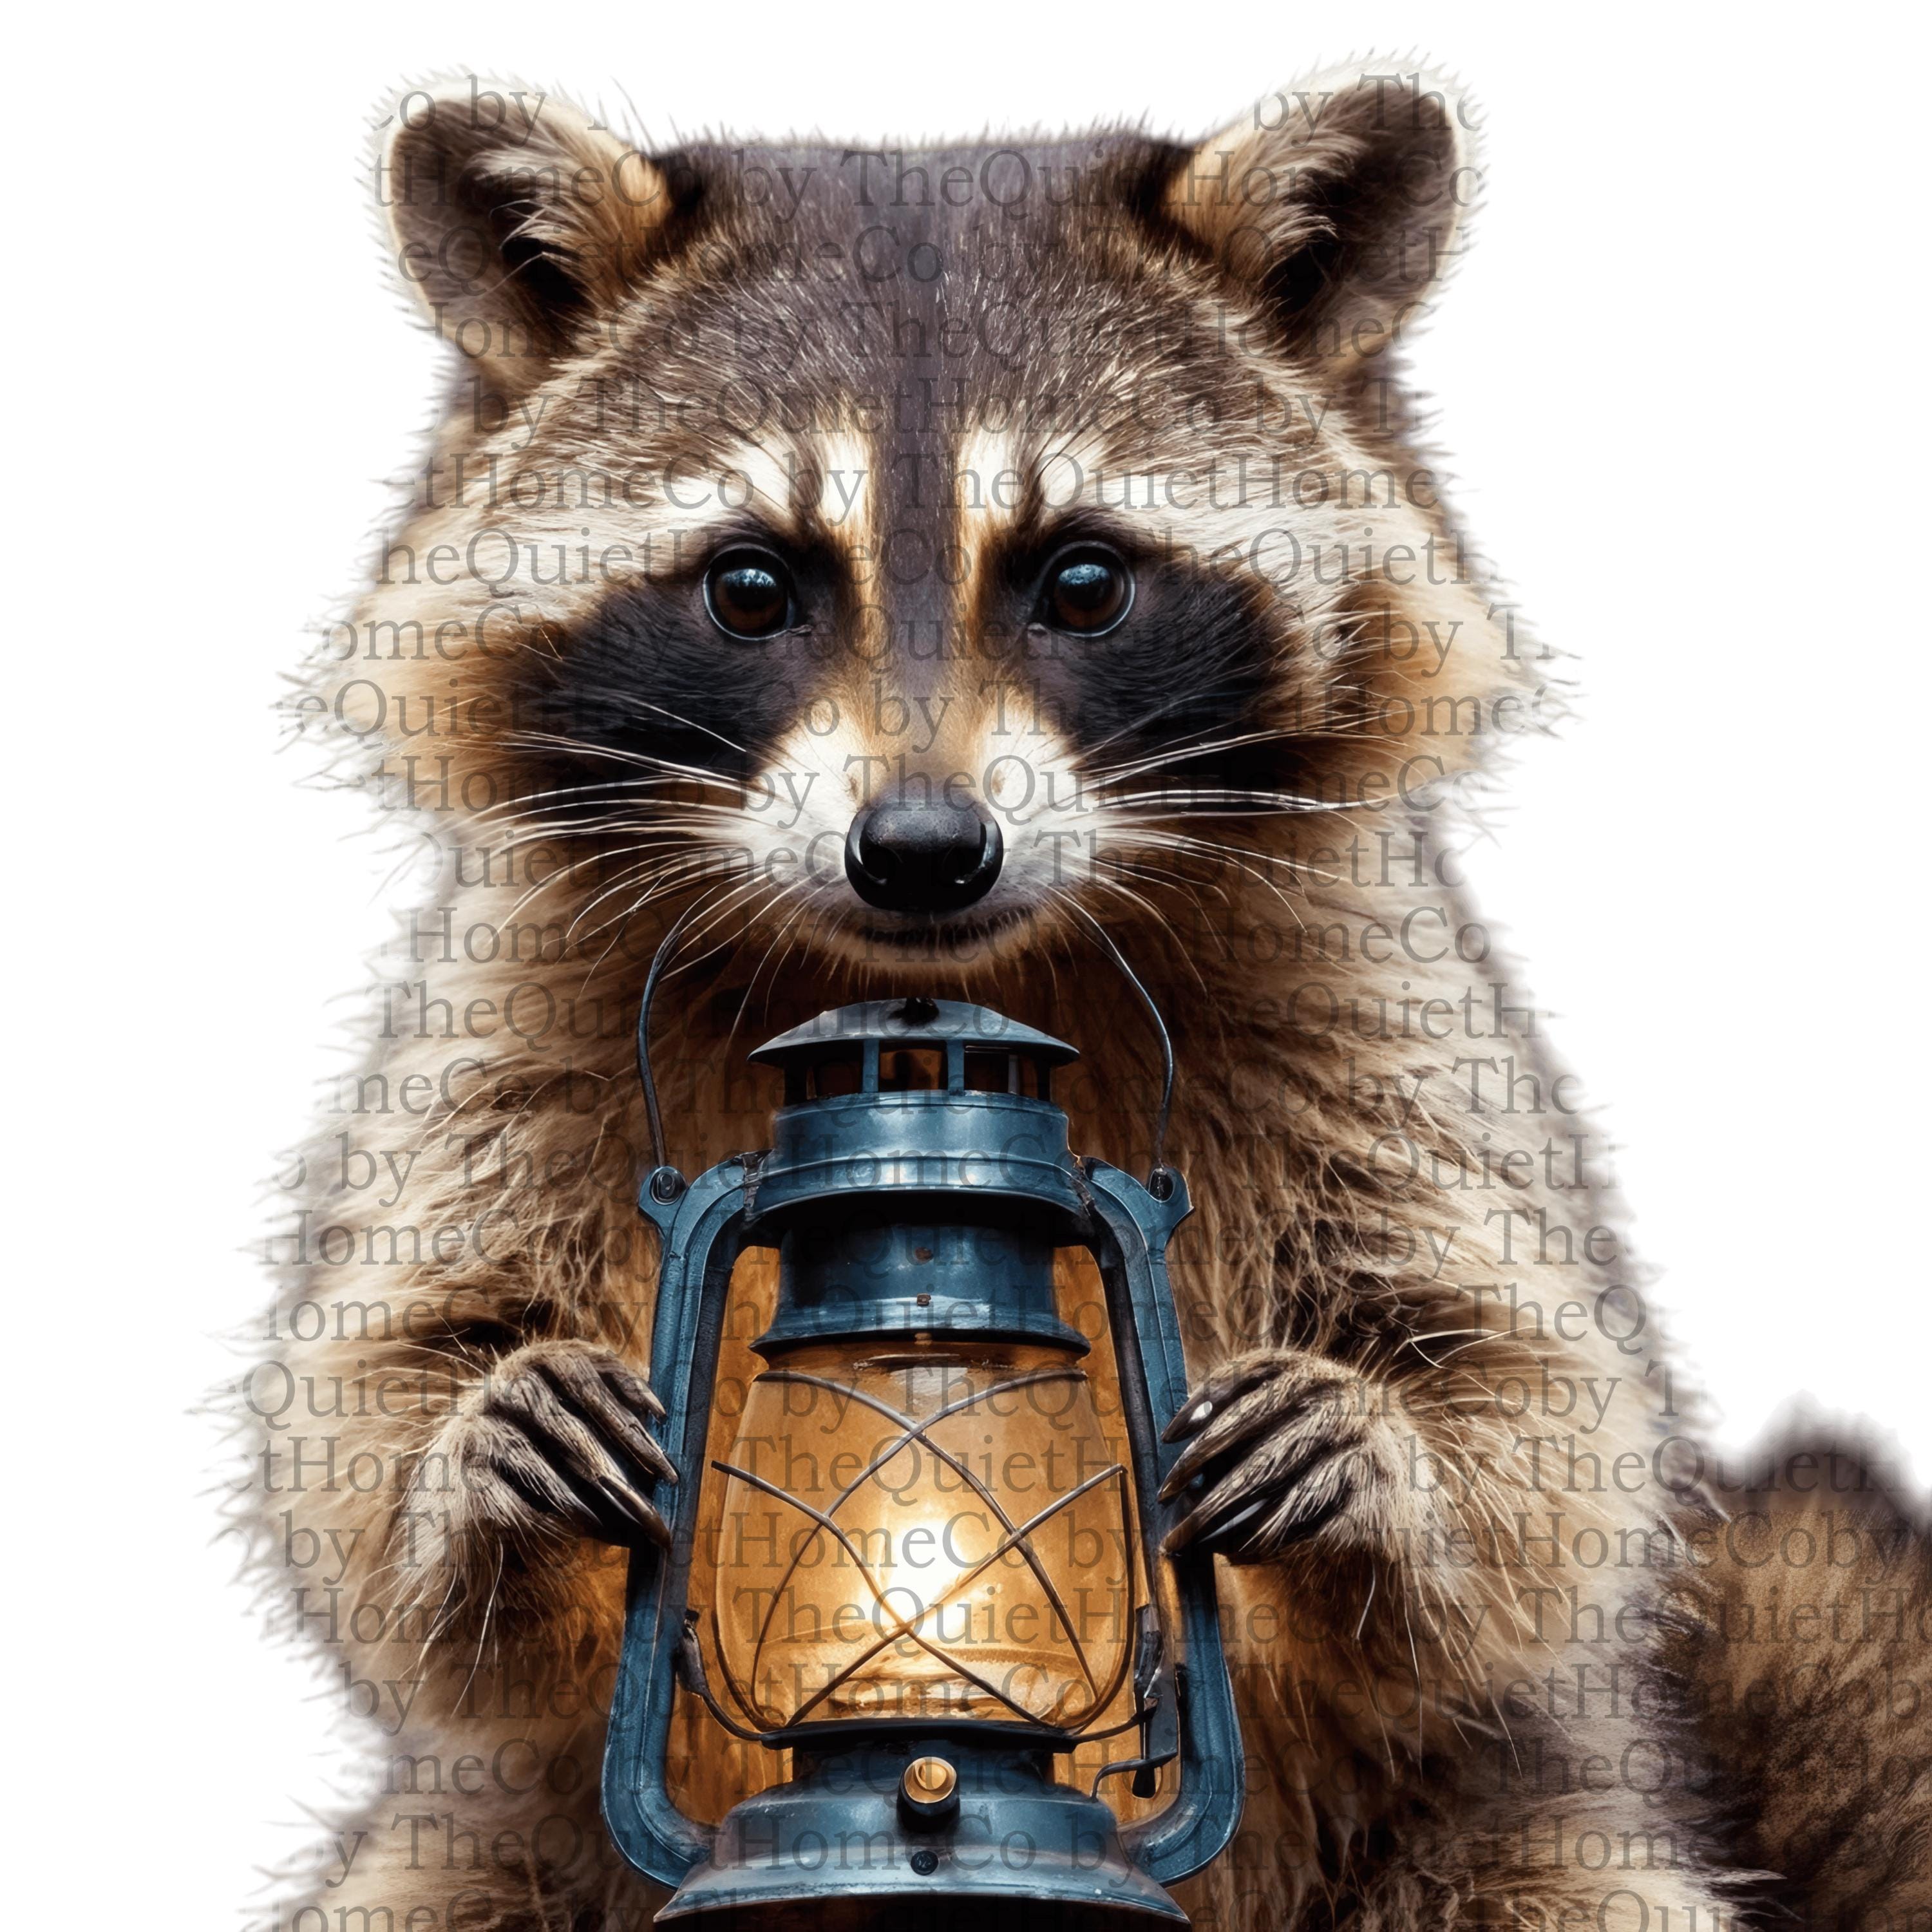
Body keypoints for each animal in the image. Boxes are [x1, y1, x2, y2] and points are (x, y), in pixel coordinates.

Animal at [247, 65, 1931, 1932]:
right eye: (752, 586)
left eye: (1081, 580)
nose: (920, 850)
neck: (929, 997)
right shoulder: (511, 1000)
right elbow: (371, 1401)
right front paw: (475, 1448)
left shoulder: (1384, 988)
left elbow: (1538, 1395)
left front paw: (1387, 1452)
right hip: (505, 1842)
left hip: (1509, 1817)